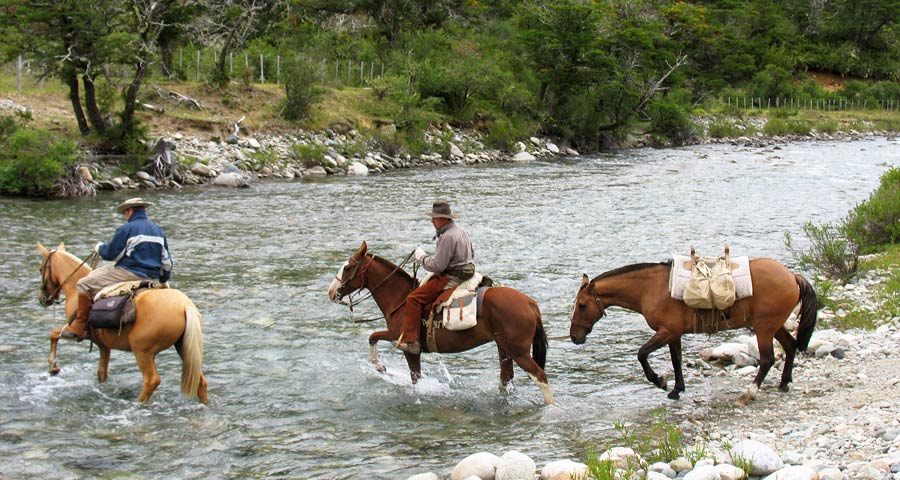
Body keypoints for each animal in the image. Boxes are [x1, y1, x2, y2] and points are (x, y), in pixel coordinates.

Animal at [37, 242, 207, 404]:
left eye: (40, 269)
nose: (43, 299)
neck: (74, 288)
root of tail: (185, 306)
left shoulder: (74, 332)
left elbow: (53, 335)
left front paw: (53, 367)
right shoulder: (103, 345)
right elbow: (102, 373)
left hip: (142, 351)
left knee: (151, 381)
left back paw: (138, 403)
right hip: (184, 347)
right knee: (200, 381)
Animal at [328, 242, 556, 404]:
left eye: (347, 268)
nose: (331, 292)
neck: (401, 298)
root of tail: (529, 302)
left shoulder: (407, 345)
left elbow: (413, 376)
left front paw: (379, 365)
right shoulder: (395, 336)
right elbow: (373, 337)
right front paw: (379, 366)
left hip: (518, 351)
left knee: (539, 376)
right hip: (504, 349)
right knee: (506, 377)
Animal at [572, 258, 820, 404]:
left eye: (582, 305)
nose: (575, 336)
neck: (651, 288)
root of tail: (792, 276)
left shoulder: (666, 331)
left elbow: (642, 354)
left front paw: (659, 381)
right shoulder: (674, 334)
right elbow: (676, 362)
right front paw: (676, 390)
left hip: (764, 327)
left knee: (768, 359)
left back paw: (748, 393)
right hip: (774, 326)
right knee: (790, 346)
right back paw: (784, 383)